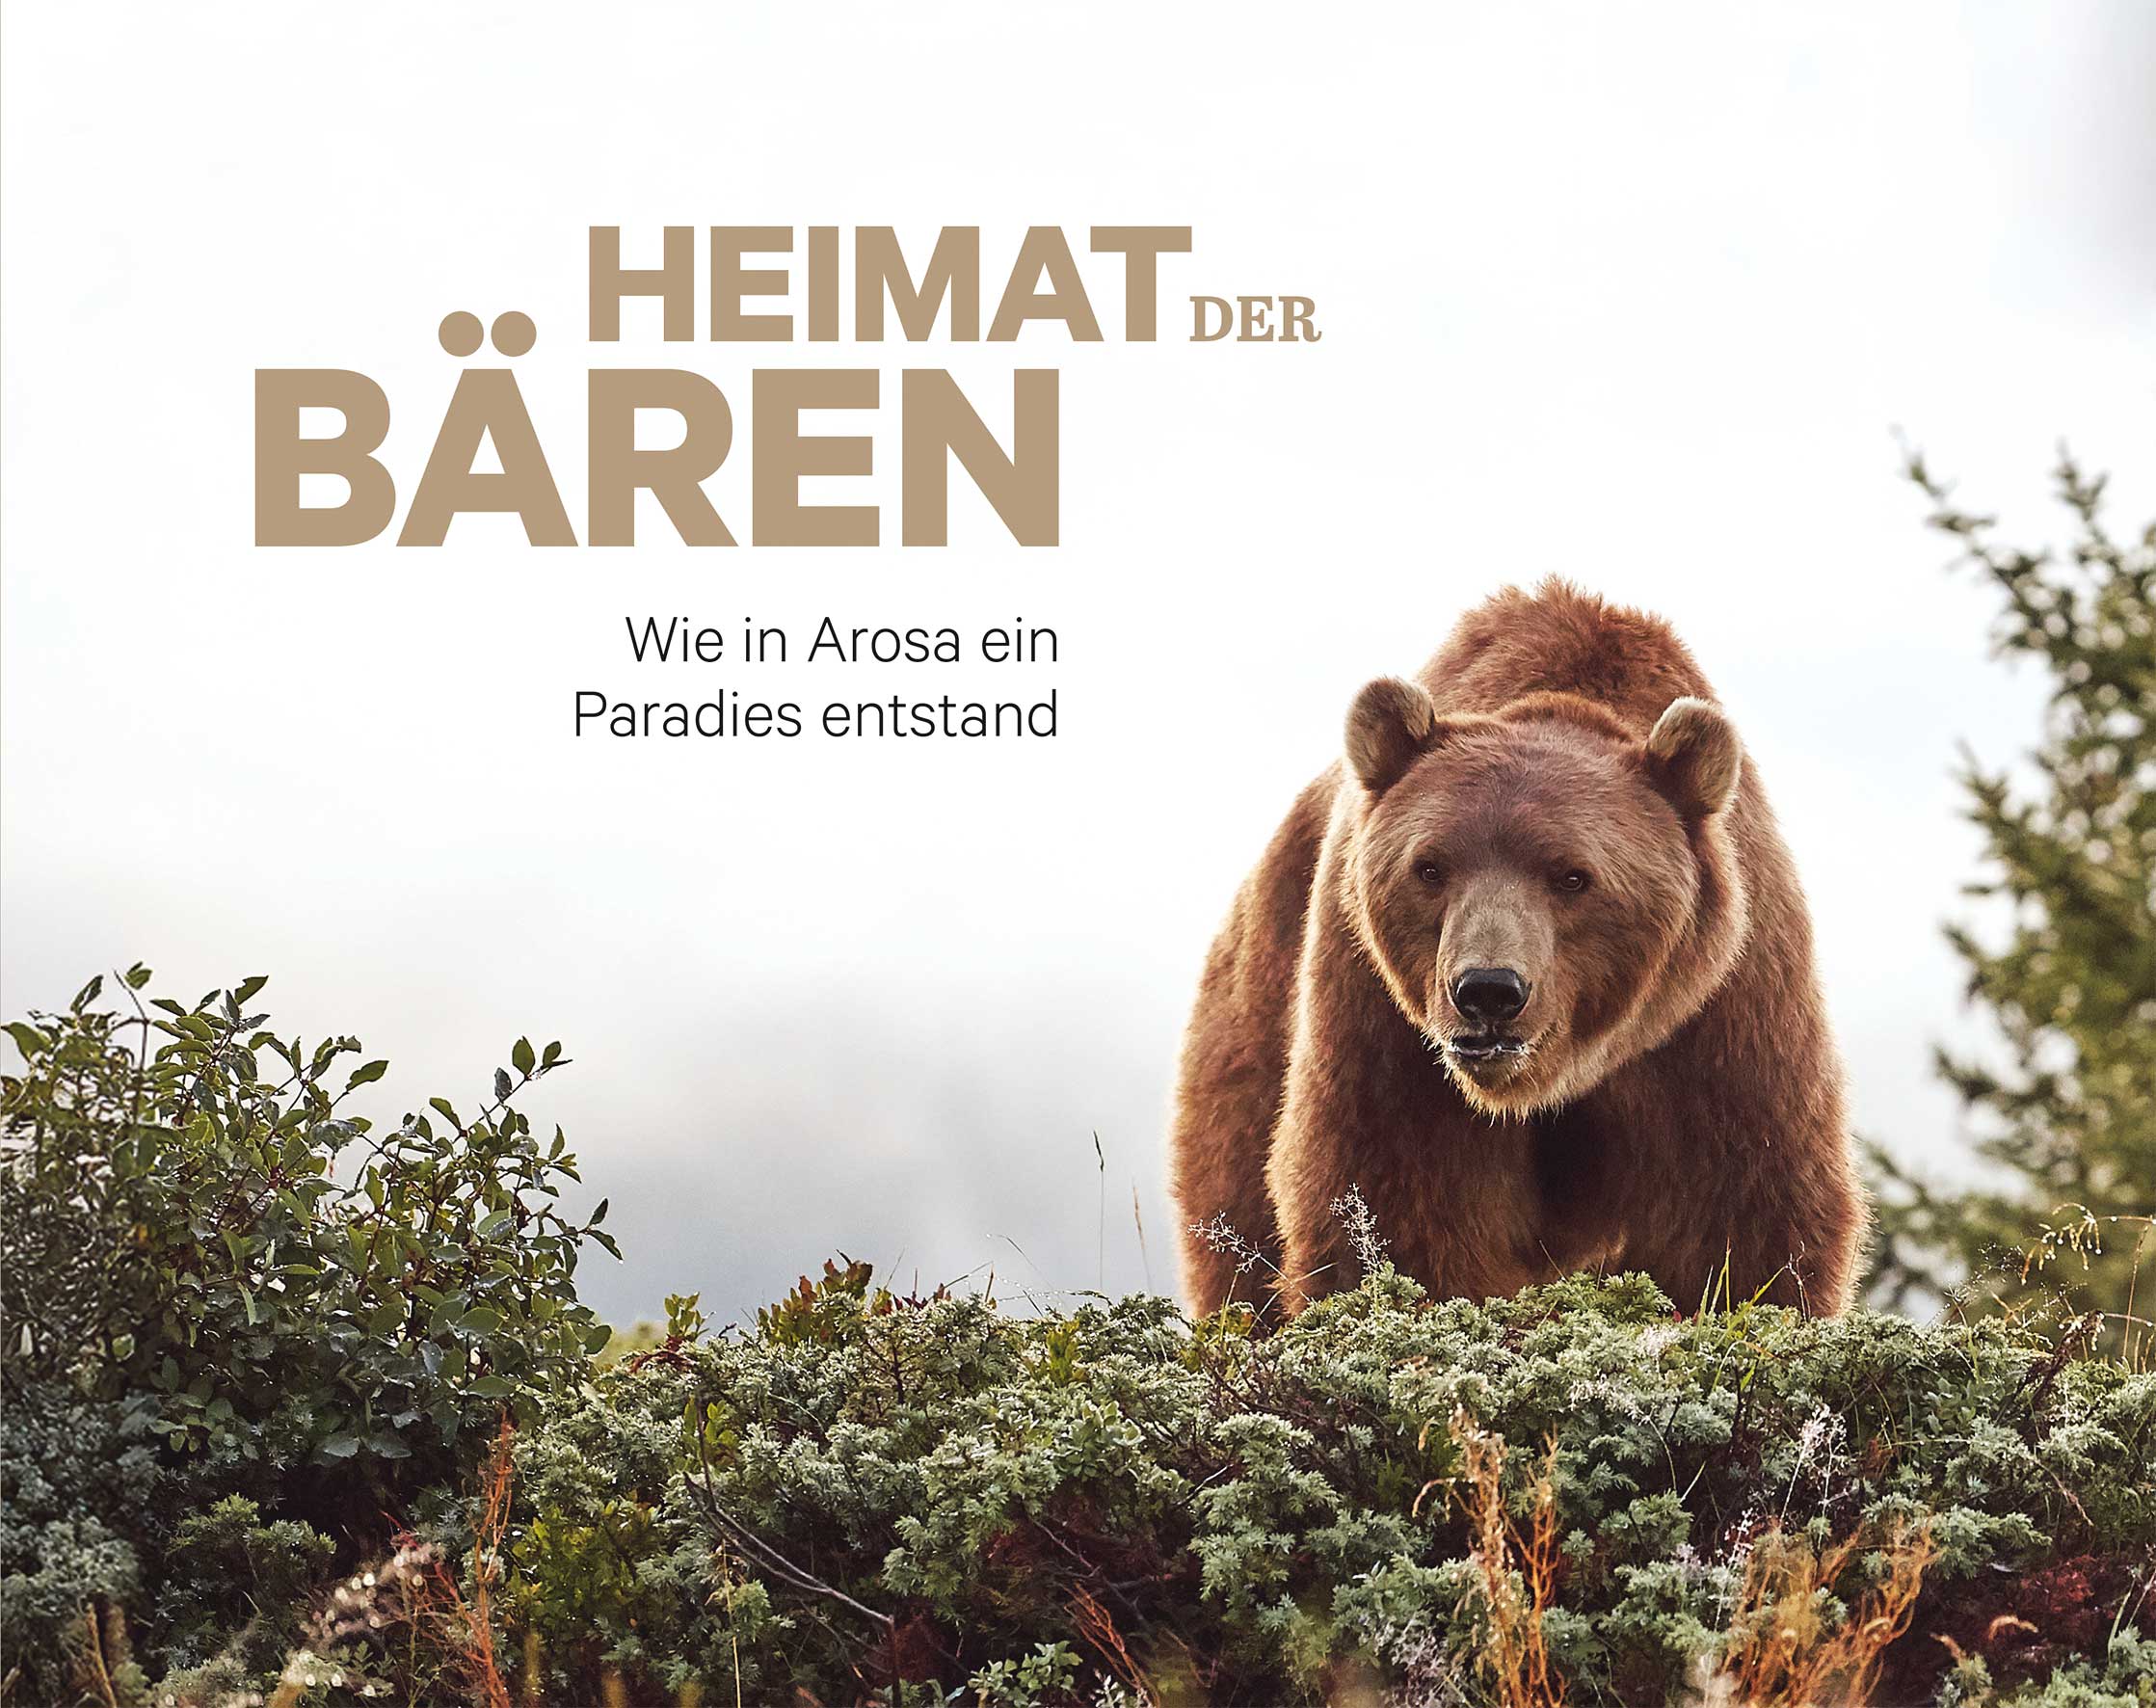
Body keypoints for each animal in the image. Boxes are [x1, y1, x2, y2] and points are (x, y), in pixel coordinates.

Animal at [1170, 580, 1865, 1319]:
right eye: (1430, 867)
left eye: (1573, 876)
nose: (1488, 991)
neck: (1560, 1074)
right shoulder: (1383, 1021)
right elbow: (1396, 1198)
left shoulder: (1721, 1017)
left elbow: (1738, 1215)